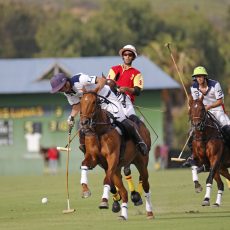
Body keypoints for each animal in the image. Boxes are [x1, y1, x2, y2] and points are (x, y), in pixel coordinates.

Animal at [79, 86, 155, 219]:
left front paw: (104, 201)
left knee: (145, 185)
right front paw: (85, 190)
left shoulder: (112, 158)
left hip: (141, 162)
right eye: (81, 102)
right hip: (118, 169)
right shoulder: (94, 158)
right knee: (124, 192)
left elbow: (106, 179)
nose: (84, 123)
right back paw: (123, 214)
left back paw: (149, 211)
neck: (99, 131)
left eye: (94, 102)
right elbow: (84, 165)